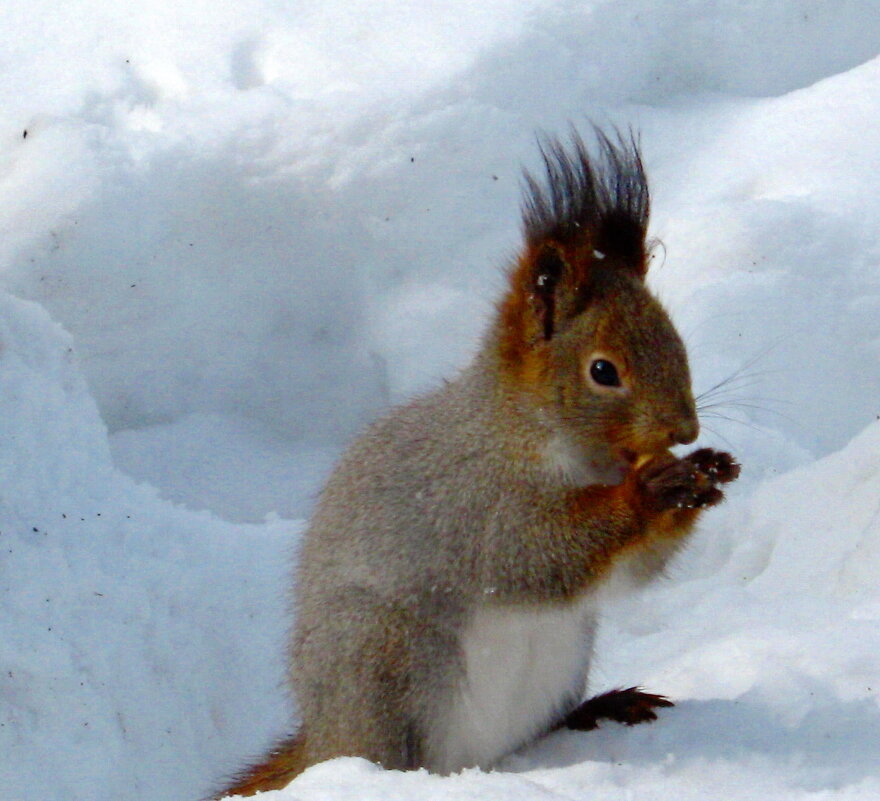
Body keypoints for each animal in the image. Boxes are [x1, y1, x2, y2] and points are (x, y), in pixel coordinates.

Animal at [217, 128, 740, 796]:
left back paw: (600, 709)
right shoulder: (477, 500)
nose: (685, 429)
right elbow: (537, 553)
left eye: (676, 341)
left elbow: (628, 572)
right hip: (387, 656)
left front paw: (706, 473)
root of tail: (324, 739)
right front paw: (648, 493)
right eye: (603, 371)